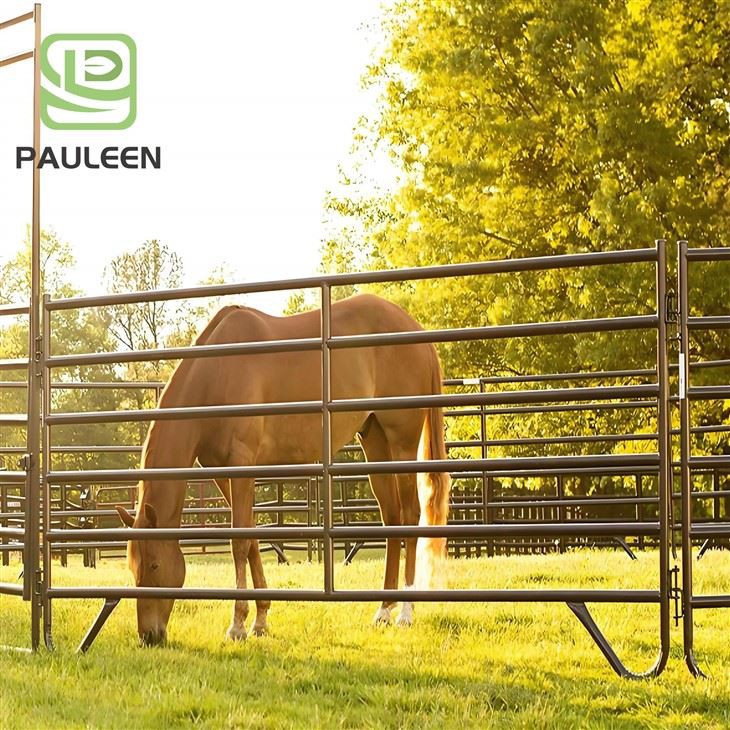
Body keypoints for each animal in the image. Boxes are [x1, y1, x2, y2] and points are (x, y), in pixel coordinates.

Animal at [116, 293, 451, 646]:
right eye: (133, 567)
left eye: (154, 566)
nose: (149, 635)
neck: (217, 373)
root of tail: (415, 329)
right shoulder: (221, 471)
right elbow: (250, 539)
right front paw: (261, 619)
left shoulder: (241, 463)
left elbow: (239, 542)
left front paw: (237, 624)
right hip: (375, 441)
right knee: (392, 518)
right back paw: (384, 610)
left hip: (402, 442)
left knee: (410, 517)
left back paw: (406, 613)